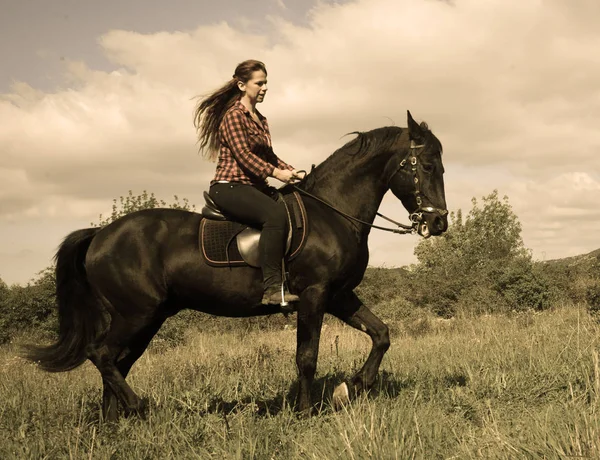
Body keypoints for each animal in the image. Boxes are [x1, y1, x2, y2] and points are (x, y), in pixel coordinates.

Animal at [24, 111, 446, 420]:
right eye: (426, 165)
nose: (438, 223)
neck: (332, 212)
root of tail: (100, 235)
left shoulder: (339, 295)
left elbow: (381, 334)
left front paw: (352, 387)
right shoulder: (314, 295)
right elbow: (306, 357)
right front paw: (306, 411)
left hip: (148, 317)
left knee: (116, 362)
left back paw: (115, 420)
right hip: (136, 314)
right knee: (101, 355)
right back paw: (138, 408)